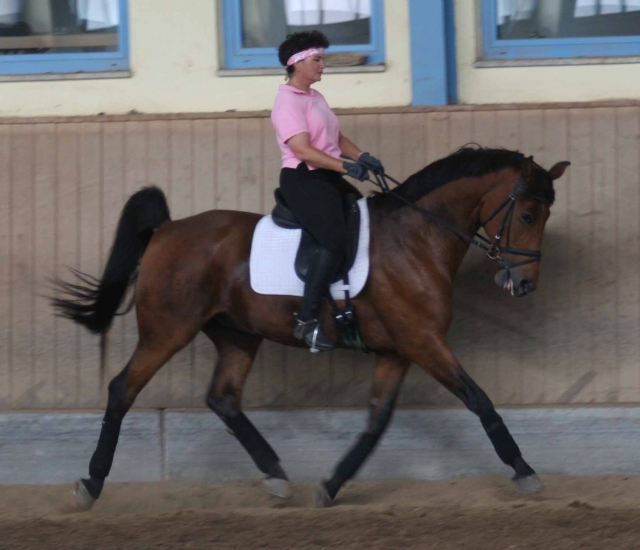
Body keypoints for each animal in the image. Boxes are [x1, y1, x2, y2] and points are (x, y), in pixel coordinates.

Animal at [51, 144, 568, 512]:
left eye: (546, 215)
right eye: (526, 214)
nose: (524, 284)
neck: (417, 239)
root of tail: (167, 229)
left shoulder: (397, 350)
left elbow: (377, 421)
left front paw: (330, 486)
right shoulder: (423, 342)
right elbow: (478, 400)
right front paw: (524, 470)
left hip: (238, 335)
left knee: (223, 398)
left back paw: (277, 476)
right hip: (168, 330)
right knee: (123, 389)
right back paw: (90, 483)